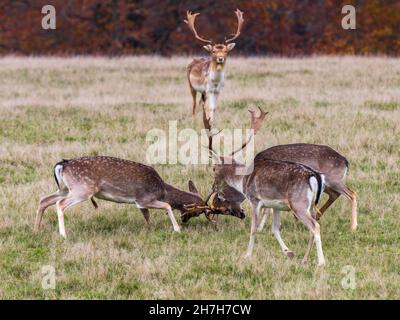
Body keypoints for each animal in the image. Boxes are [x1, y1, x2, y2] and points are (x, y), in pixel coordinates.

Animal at [34, 156, 216, 236]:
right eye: (199, 211)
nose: (184, 220)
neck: (163, 190)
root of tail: (62, 164)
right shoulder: (144, 198)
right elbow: (167, 205)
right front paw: (177, 229)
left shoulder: (140, 203)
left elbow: (147, 215)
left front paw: (148, 228)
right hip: (82, 189)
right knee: (60, 204)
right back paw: (63, 234)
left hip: (66, 188)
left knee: (44, 199)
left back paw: (37, 230)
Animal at [205, 109, 326, 266]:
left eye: (214, 168)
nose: (213, 186)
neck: (243, 180)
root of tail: (314, 176)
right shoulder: (276, 206)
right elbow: (274, 229)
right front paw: (289, 252)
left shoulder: (255, 200)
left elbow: (254, 228)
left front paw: (247, 255)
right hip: (311, 206)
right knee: (313, 226)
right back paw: (304, 259)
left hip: (298, 204)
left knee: (315, 226)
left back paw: (321, 262)